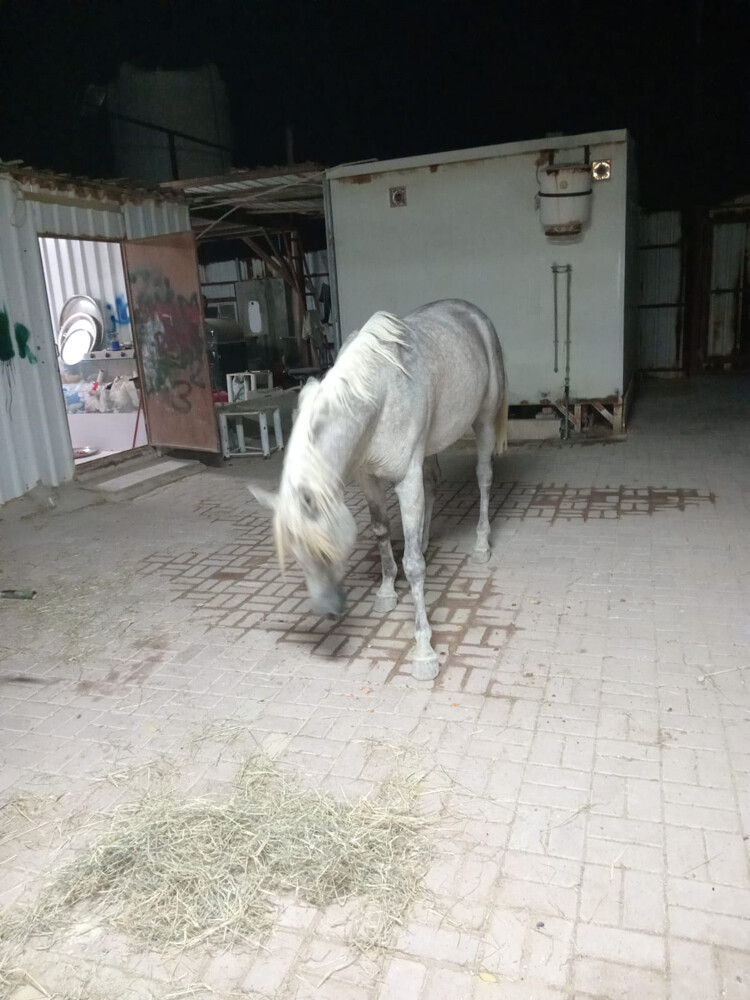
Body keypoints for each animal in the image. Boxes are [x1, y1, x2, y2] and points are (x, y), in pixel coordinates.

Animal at [251, 298, 508, 681]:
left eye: (325, 548)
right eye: (294, 551)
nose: (328, 610)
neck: (378, 395)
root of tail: (473, 312)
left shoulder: (405, 480)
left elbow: (413, 565)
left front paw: (424, 651)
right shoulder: (368, 479)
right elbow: (382, 531)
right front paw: (387, 590)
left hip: (484, 421)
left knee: (484, 478)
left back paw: (480, 543)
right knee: (433, 484)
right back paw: (427, 538)